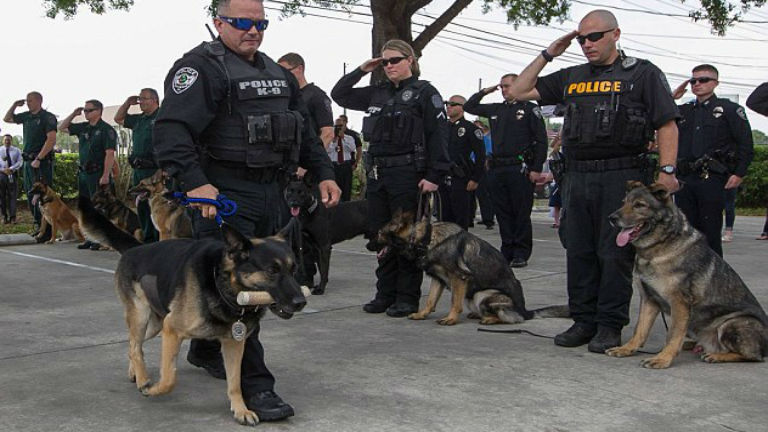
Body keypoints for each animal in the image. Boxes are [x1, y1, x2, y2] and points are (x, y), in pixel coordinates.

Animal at [77, 195, 307, 426]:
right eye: (271, 271)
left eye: (294, 269)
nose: (301, 302)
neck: (221, 284)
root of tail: (136, 248)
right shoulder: (172, 330)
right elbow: (169, 377)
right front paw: (154, 389)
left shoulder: (234, 342)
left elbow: (234, 382)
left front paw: (241, 410)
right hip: (143, 317)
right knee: (135, 347)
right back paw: (143, 380)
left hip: (154, 325)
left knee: (133, 344)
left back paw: (134, 372)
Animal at [377, 209, 569, 325]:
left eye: (379, 234)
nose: (370, 245)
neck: (426, 238)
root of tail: (525, 312)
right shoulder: (438, 279)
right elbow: (431, 300)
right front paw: (422, 314)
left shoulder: (459, 278)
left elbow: (455, 301)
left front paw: (451, 319)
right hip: (472, 297)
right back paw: (478, 315)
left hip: (483, 295)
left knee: (509, 319)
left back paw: (489, 319)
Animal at [606, 181, 768, 368]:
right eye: (624, 202)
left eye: (639, 205)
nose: (611, 218)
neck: (661, 245)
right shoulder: (649, 300)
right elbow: (640, 329)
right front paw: (626, 348)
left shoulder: (679, 303)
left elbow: (673, 334)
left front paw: (662, 358)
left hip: (732, 323)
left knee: (752, 356)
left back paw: (716, 356)